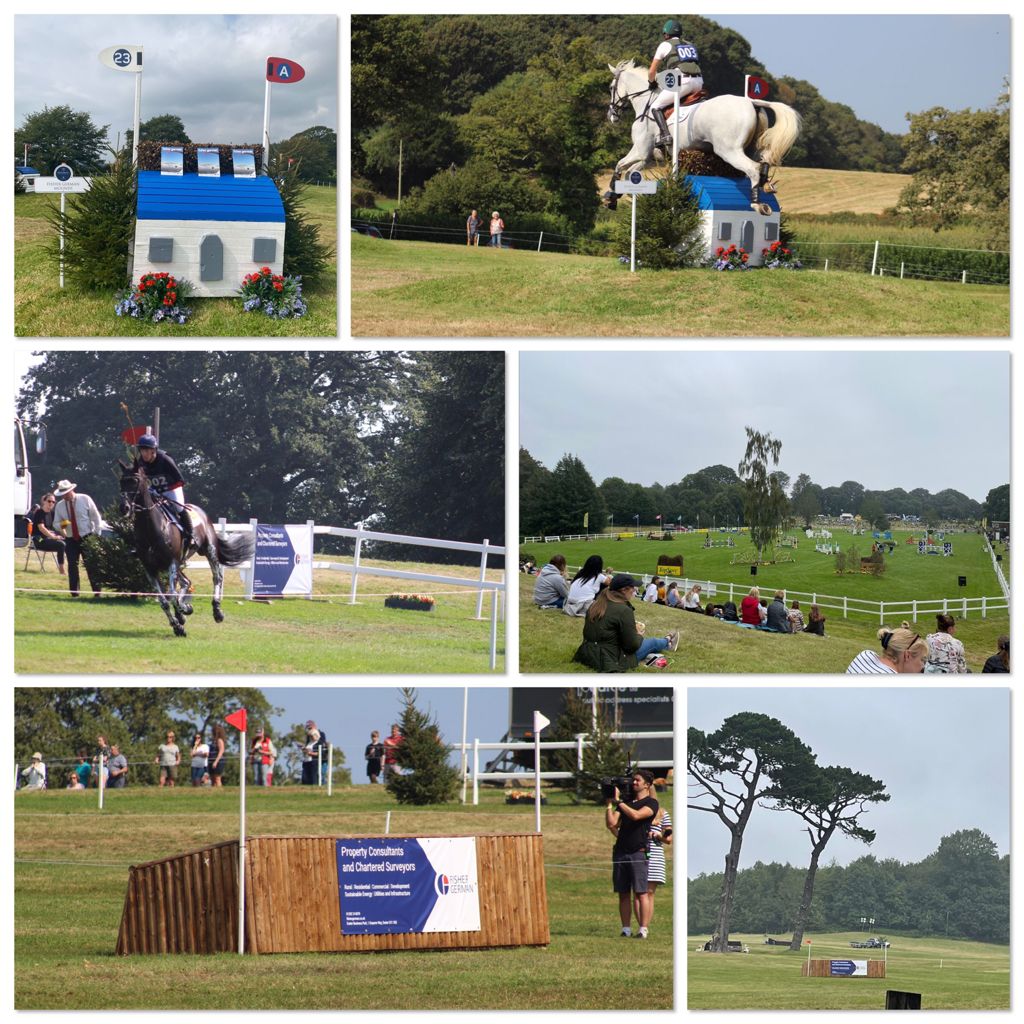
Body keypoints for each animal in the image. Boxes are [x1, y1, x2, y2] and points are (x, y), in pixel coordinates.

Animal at [118, 462, 253, 634]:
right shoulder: (150, 569)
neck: (151, 528)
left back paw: (217, 611)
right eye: (122, 482)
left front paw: (184, 611)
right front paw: (178, 625)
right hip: (179, 562)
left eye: (135, 481)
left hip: (208, 551)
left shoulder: (171, 563)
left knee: (217, 577)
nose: (124, 508)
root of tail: (202, 513)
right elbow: (164, 601)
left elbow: (172, 595)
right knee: (186, 582)